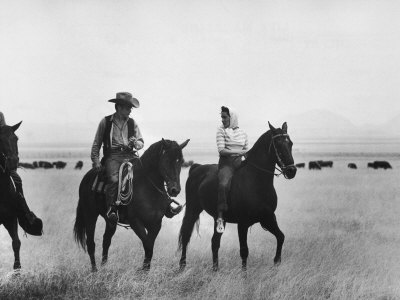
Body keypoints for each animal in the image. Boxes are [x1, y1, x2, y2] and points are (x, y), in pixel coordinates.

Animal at [75, 138, 191, 272]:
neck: (147, 187)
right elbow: (148, 246)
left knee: (106, 241)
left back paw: (104, 267)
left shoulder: (156, 224)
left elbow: (150, 247)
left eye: (181, 161)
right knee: (91, 243)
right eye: (166, 160)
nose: (175, 190)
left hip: (110, 221)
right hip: (90, 215)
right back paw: (94, 270)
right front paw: (142, 271)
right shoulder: (136, 222)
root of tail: (87, 177)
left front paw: (145, 271)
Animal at [178, 123, 296, 270]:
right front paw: (244, 274)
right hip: (193, 210)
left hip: (219, 219)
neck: (256, 181)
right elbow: (244, 251)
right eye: (278, 143)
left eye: (290, 143)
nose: (291, 171)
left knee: (215, 242)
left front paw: (276, 262)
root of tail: (196, 168)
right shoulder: (243, 223)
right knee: (186, 235)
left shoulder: (268, 218)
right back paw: (182, 265)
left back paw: (215, 270)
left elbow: (281, 237)